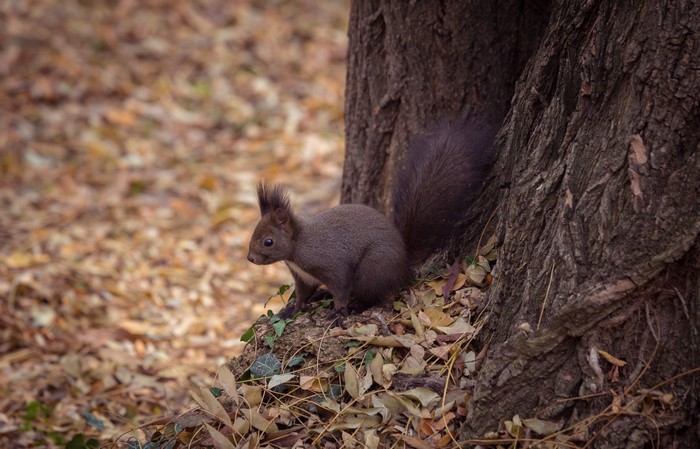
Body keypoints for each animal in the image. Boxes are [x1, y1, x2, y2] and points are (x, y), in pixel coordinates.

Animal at [247, 117, 496, 319]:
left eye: (268, 241)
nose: (250, 258)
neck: (298, 245)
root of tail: (405, 265)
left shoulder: (330, 264)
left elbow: (340, 287)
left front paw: (338, 311)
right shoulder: (302, 277)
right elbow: (302, 295)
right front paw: (293, 309)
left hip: (372, 269)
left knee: (371, 296)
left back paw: (355, 306)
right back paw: (323, 295)